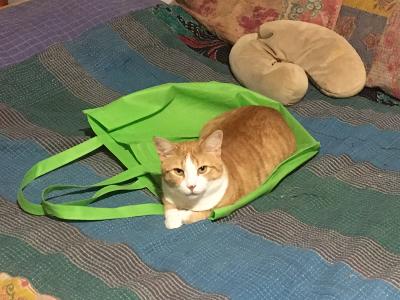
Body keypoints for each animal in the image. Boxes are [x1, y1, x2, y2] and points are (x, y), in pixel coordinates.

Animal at [154, 104, 296, 229]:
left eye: (202, 169)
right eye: (178, 171)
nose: (191, 186)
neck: (189, 202)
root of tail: (272, 109)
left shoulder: (218, 207)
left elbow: (194, 214)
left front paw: (181, 216)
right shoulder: (168, 195)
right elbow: (170, 210)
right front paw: (173, 219)